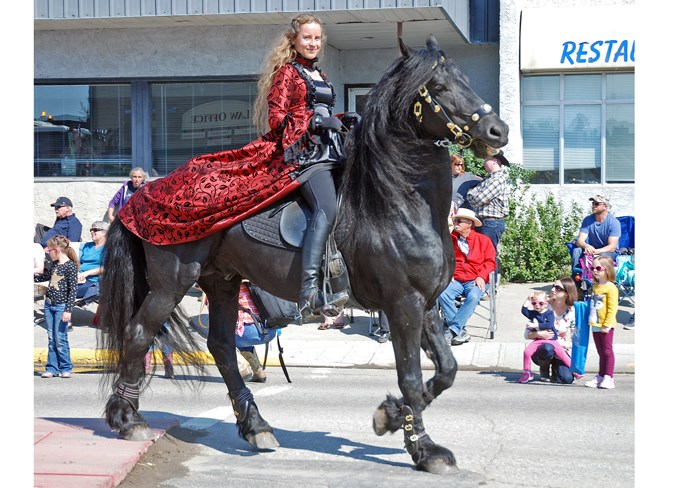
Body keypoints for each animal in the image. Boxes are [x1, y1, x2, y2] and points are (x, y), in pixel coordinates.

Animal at [96, 36, 508, 474]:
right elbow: (411, 378)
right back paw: (128, 418)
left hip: (221, 280)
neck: (397, 203)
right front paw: (423, 448)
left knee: (222, 347)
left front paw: (392, 417)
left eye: (466, 79)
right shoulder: (404, 305)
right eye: (440, 87)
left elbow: (447, 370)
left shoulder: (427, 304)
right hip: (171, 283)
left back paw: (256, 426)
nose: (498, 130)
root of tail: (141, 194)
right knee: (139, 334)